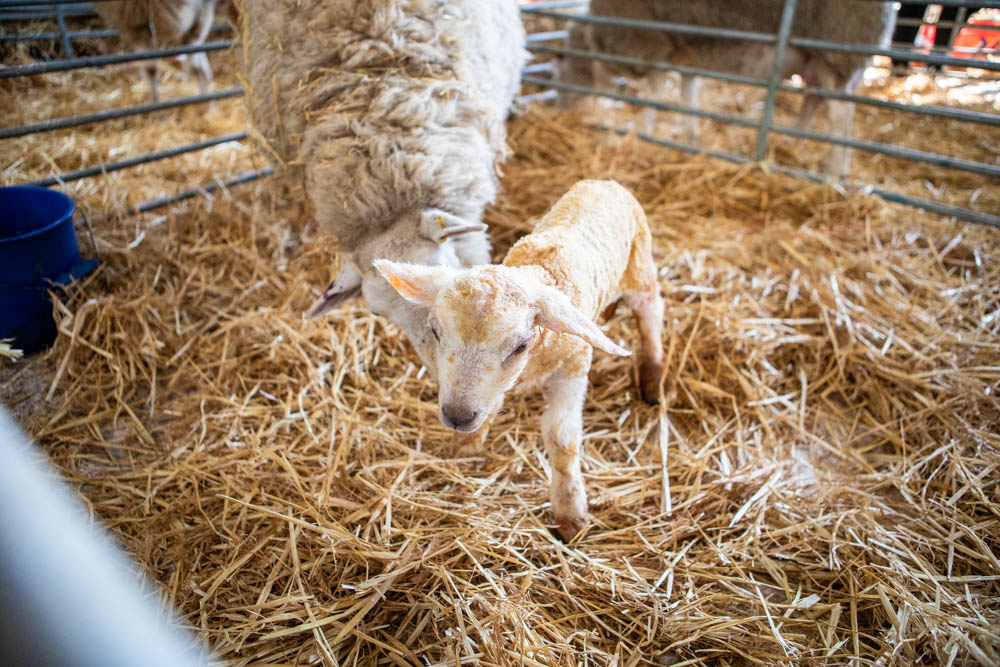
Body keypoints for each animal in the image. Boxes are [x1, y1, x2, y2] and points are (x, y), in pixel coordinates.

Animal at [374, 180, 665, 540]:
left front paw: (571, 515)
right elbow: (489, 402)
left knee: (651, 314)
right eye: (435, 331)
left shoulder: (574, 364)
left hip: (640, 269)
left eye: (520, 345)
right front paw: (464, 448)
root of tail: (605, 182)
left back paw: (653, 378)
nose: (456, 417)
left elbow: (561, 437)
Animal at [555, 0, 897, 178]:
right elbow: (688, 96)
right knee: (813, 100)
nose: (560, 107)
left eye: (562, 59)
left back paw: (836, 172)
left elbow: (651, 100)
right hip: (814, 58)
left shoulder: (651, 47)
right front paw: (691, 138)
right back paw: (795, 145)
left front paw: (642, 136)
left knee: (842, 114)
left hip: (836, 51)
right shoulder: (686, 53)